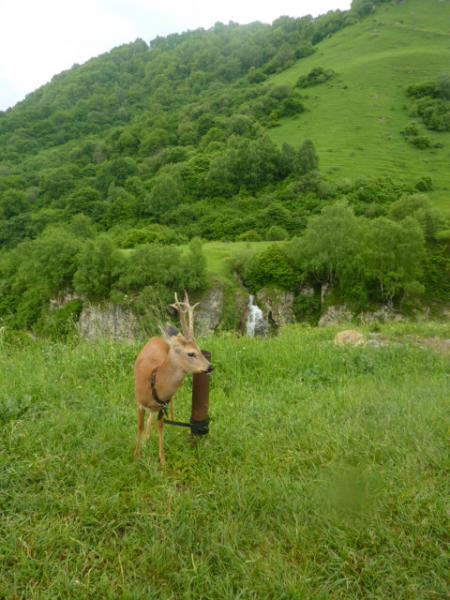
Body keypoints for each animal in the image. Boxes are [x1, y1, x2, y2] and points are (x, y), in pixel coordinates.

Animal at [134, 290, 213, 464]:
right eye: (191, 353)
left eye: (200, 349)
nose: (210, 367)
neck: (154, 383)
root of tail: (157, 338)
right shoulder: (139, 402)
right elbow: (140, 426)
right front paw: (136, 453)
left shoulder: (162, 405)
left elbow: (161, 427)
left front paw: (162, 460)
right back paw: (147, 439)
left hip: (168, 402)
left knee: (167, 410)